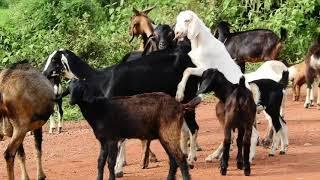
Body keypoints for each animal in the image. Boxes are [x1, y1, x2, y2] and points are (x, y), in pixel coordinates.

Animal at [69, 79, 201, 180]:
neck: (98, 109)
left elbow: (110, 162)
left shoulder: (112, 139)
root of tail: (179, 105)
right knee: (173, 160)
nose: (71, 101)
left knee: (180, 158)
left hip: (170, 132)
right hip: (164, 136)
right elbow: (100, 162)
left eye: (81, 88)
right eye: (69, 88)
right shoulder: (103, 141)